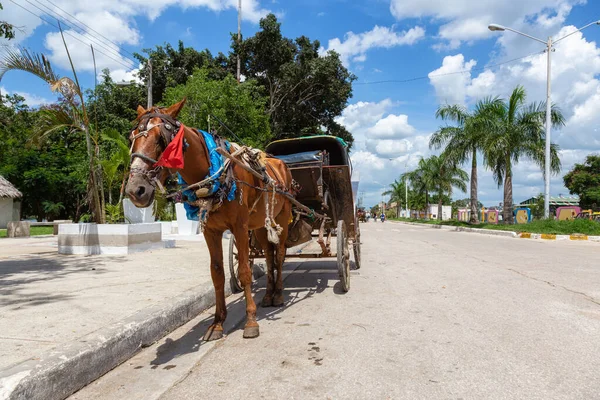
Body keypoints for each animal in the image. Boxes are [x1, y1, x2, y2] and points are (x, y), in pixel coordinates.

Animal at [126, 98, 292, 340]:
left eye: (161, 140)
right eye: (132, 138)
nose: (134, 190)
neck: (214, 176)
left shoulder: (240, 227)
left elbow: (244, 271)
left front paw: (251, 320)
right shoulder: (210, 230)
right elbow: (217, 274)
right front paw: (217, 323)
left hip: (283, 216)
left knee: (279, 254)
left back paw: (278, 294)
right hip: (261, 225)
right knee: (269, 256)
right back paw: (269, 295)